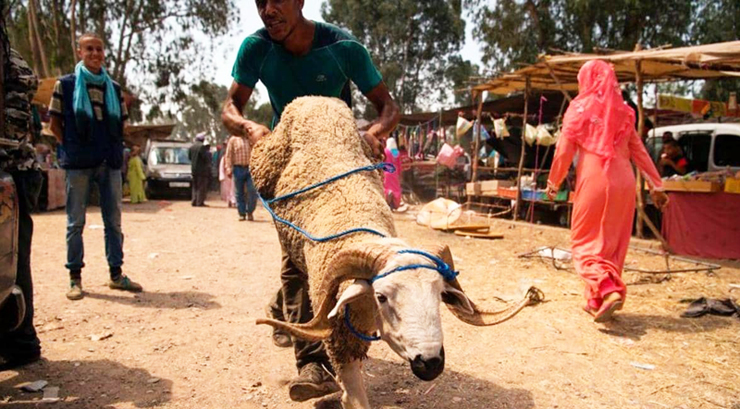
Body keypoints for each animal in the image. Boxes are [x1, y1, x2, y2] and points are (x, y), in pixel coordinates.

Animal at [251, 96, 541, 409]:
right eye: (381, 296)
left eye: (440, 294)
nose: (431, 364)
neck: (358, 223)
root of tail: (313, 98)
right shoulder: (339, 336)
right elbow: (354, 394)